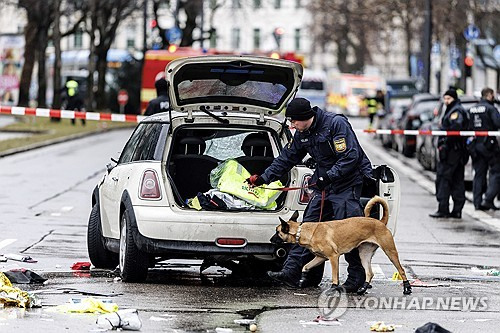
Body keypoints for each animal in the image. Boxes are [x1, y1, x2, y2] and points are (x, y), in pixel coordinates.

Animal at [276, 195, 412, 294]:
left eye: (277, 232)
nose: (272, 239)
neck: (305, 231)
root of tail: (380, 222)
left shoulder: (333, 257)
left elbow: (334, 276)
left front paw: (333, 288)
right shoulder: (320, 258)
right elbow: (305, 266)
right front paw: (302, 279)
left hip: (390, 252)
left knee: (401, 270)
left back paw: (407, 288)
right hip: (364, 255)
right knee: (370, 273)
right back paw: (363, 288)